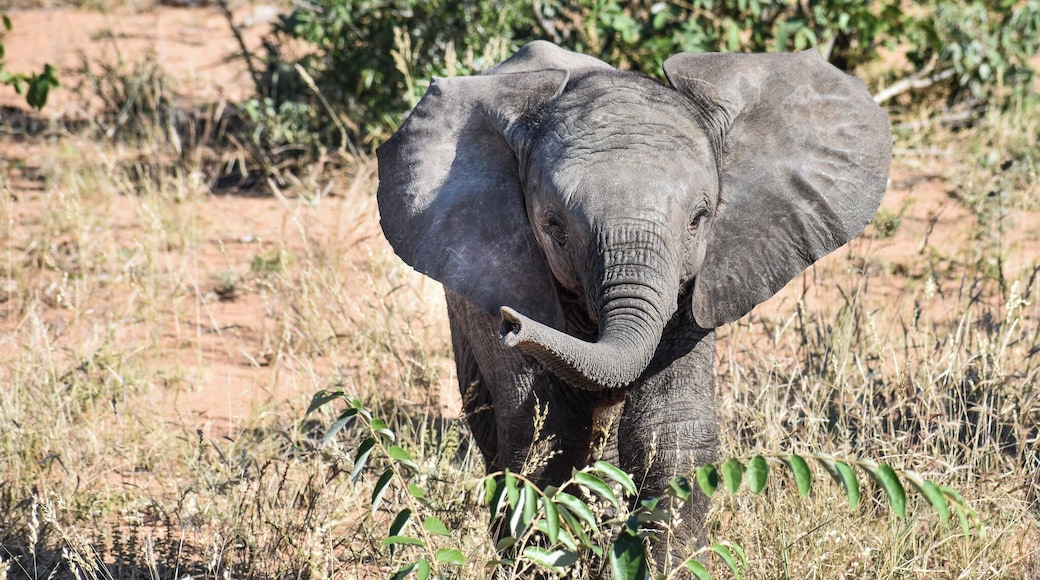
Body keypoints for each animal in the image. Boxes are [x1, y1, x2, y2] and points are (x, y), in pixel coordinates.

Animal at [376, 41, 891, 567]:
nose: (513, 325)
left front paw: (669, 566)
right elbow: (546, 431)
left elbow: (669, 430)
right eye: (555, 228)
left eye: (699, 219)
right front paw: (544, 562)